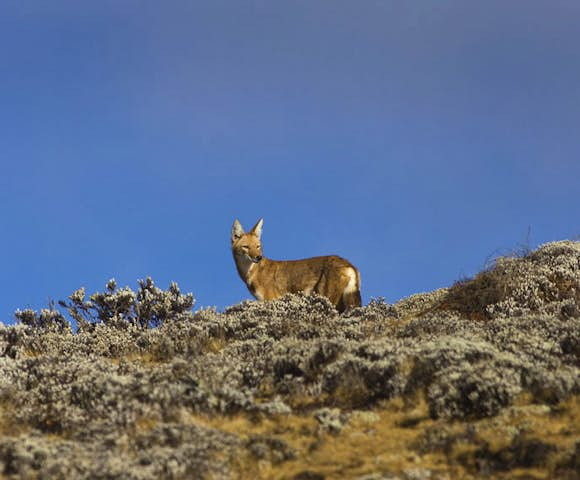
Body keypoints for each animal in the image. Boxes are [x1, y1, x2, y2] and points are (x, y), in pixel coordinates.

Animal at [229, 219, 360, 314]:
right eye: (246, 247)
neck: (251, 273)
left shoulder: (270, 300)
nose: (258, 257)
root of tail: (350, 265)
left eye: (258, 246)